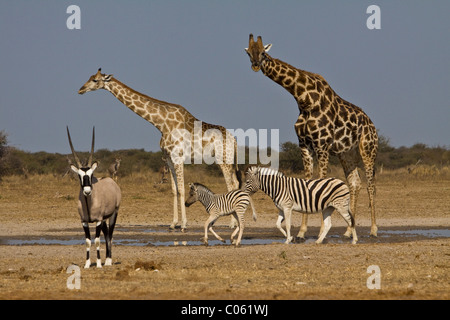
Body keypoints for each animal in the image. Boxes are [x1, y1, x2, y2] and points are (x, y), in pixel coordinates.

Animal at [78, 69, 241, 231]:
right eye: (90, 77)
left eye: (95, 80)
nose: (80, 90)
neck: (161, 123)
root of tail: (234, 140)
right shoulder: (168, 158)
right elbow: (174, 190)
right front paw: (173, 223)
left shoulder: (178, 156)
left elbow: (182, 189)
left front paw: (184, 224)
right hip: (227, 160)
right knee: (235, 183)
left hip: (223, 159)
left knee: (231, 185)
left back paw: (232, 223)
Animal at [244, 35, 378, 238]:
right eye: (249, 53)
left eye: (263, 52)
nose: (255, 65)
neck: (304, 100)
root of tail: (372, 125)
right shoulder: (304, 145)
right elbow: (307, 182)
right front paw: (301, 232)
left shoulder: (322, 145)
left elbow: (320, 182)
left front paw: (321, 229)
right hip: (346, 154)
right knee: (355, 182)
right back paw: (348, 230)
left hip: (368, 149)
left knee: (371, 185)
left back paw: (373, 229)